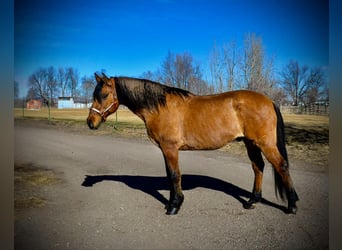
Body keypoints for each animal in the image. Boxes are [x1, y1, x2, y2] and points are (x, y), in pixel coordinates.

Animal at [87, 72, 298, 215]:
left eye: (103, 95)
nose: (90, 122)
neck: (160, 107)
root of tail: (269, 101)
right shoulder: (167, 150)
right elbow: (170, 175)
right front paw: (173, 202)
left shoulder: (170, 148)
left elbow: (174, 175)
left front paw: (174, 206)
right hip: (250, 143)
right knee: (258, 167)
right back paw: (252, 201)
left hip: (265, 144)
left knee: (281, 166)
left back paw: (292, 205)